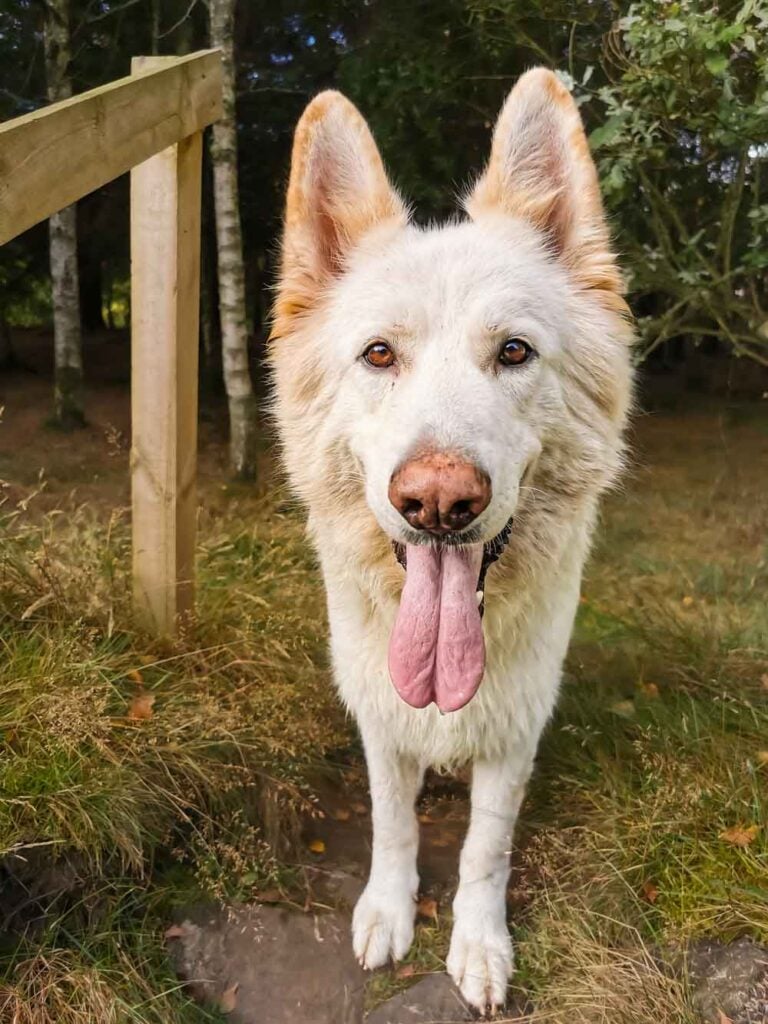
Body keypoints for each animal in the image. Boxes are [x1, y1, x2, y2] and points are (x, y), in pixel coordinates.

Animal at [270, 68, 630, 1011]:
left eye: (514, 352)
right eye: (378, 355)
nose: (438, 503)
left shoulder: (512, 738)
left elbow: (484, 850)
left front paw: (478, 944)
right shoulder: (381, 722)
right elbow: (393, 827)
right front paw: (389, 913)